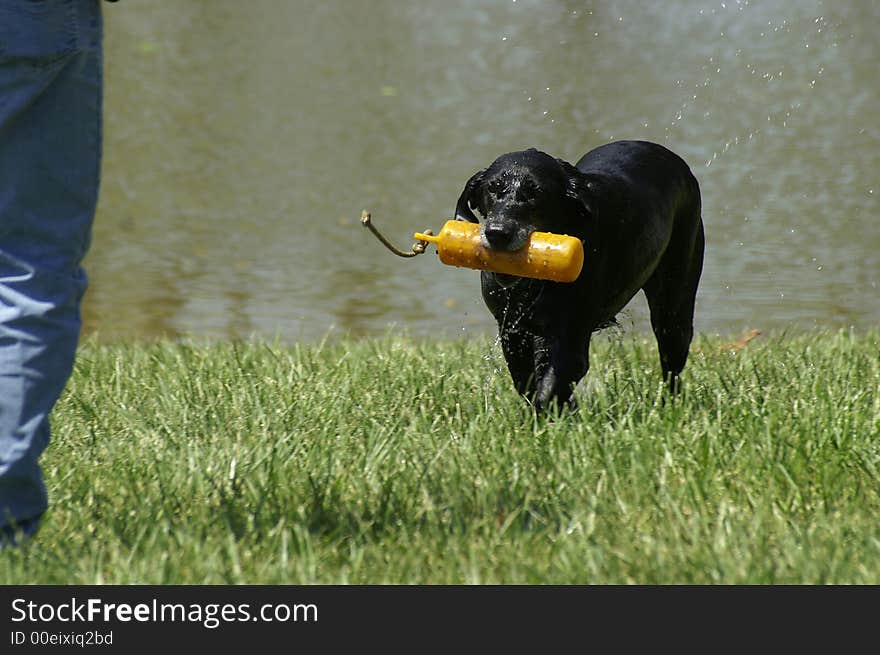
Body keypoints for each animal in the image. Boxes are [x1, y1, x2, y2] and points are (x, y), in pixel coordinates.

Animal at [458, 142, 704, 412]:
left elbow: (548, 390)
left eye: (536, 192)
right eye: (492, 188)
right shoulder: (513, 332)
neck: (532, 284)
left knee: (672, 364)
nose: (498, 232)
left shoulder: (570, 339)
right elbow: (528, 382)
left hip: (673, 310)